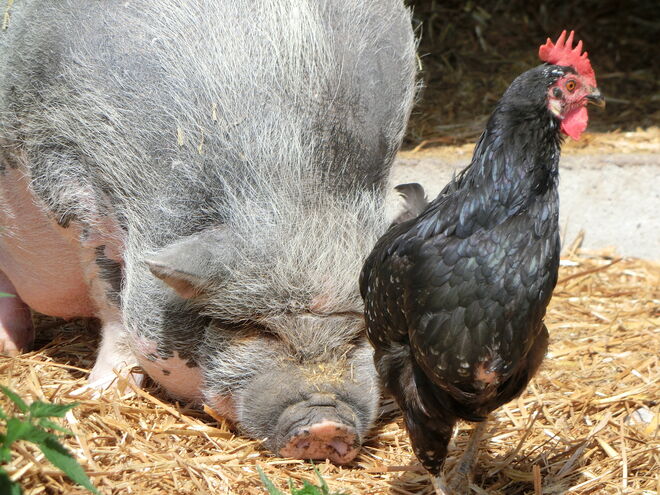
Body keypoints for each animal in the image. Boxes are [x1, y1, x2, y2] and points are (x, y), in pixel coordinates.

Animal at [0, 0, 417, 462]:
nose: (326, 425)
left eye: (361, 333)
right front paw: (98, 394)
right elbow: (115, 313)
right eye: (251, 327)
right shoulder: (75, 189)